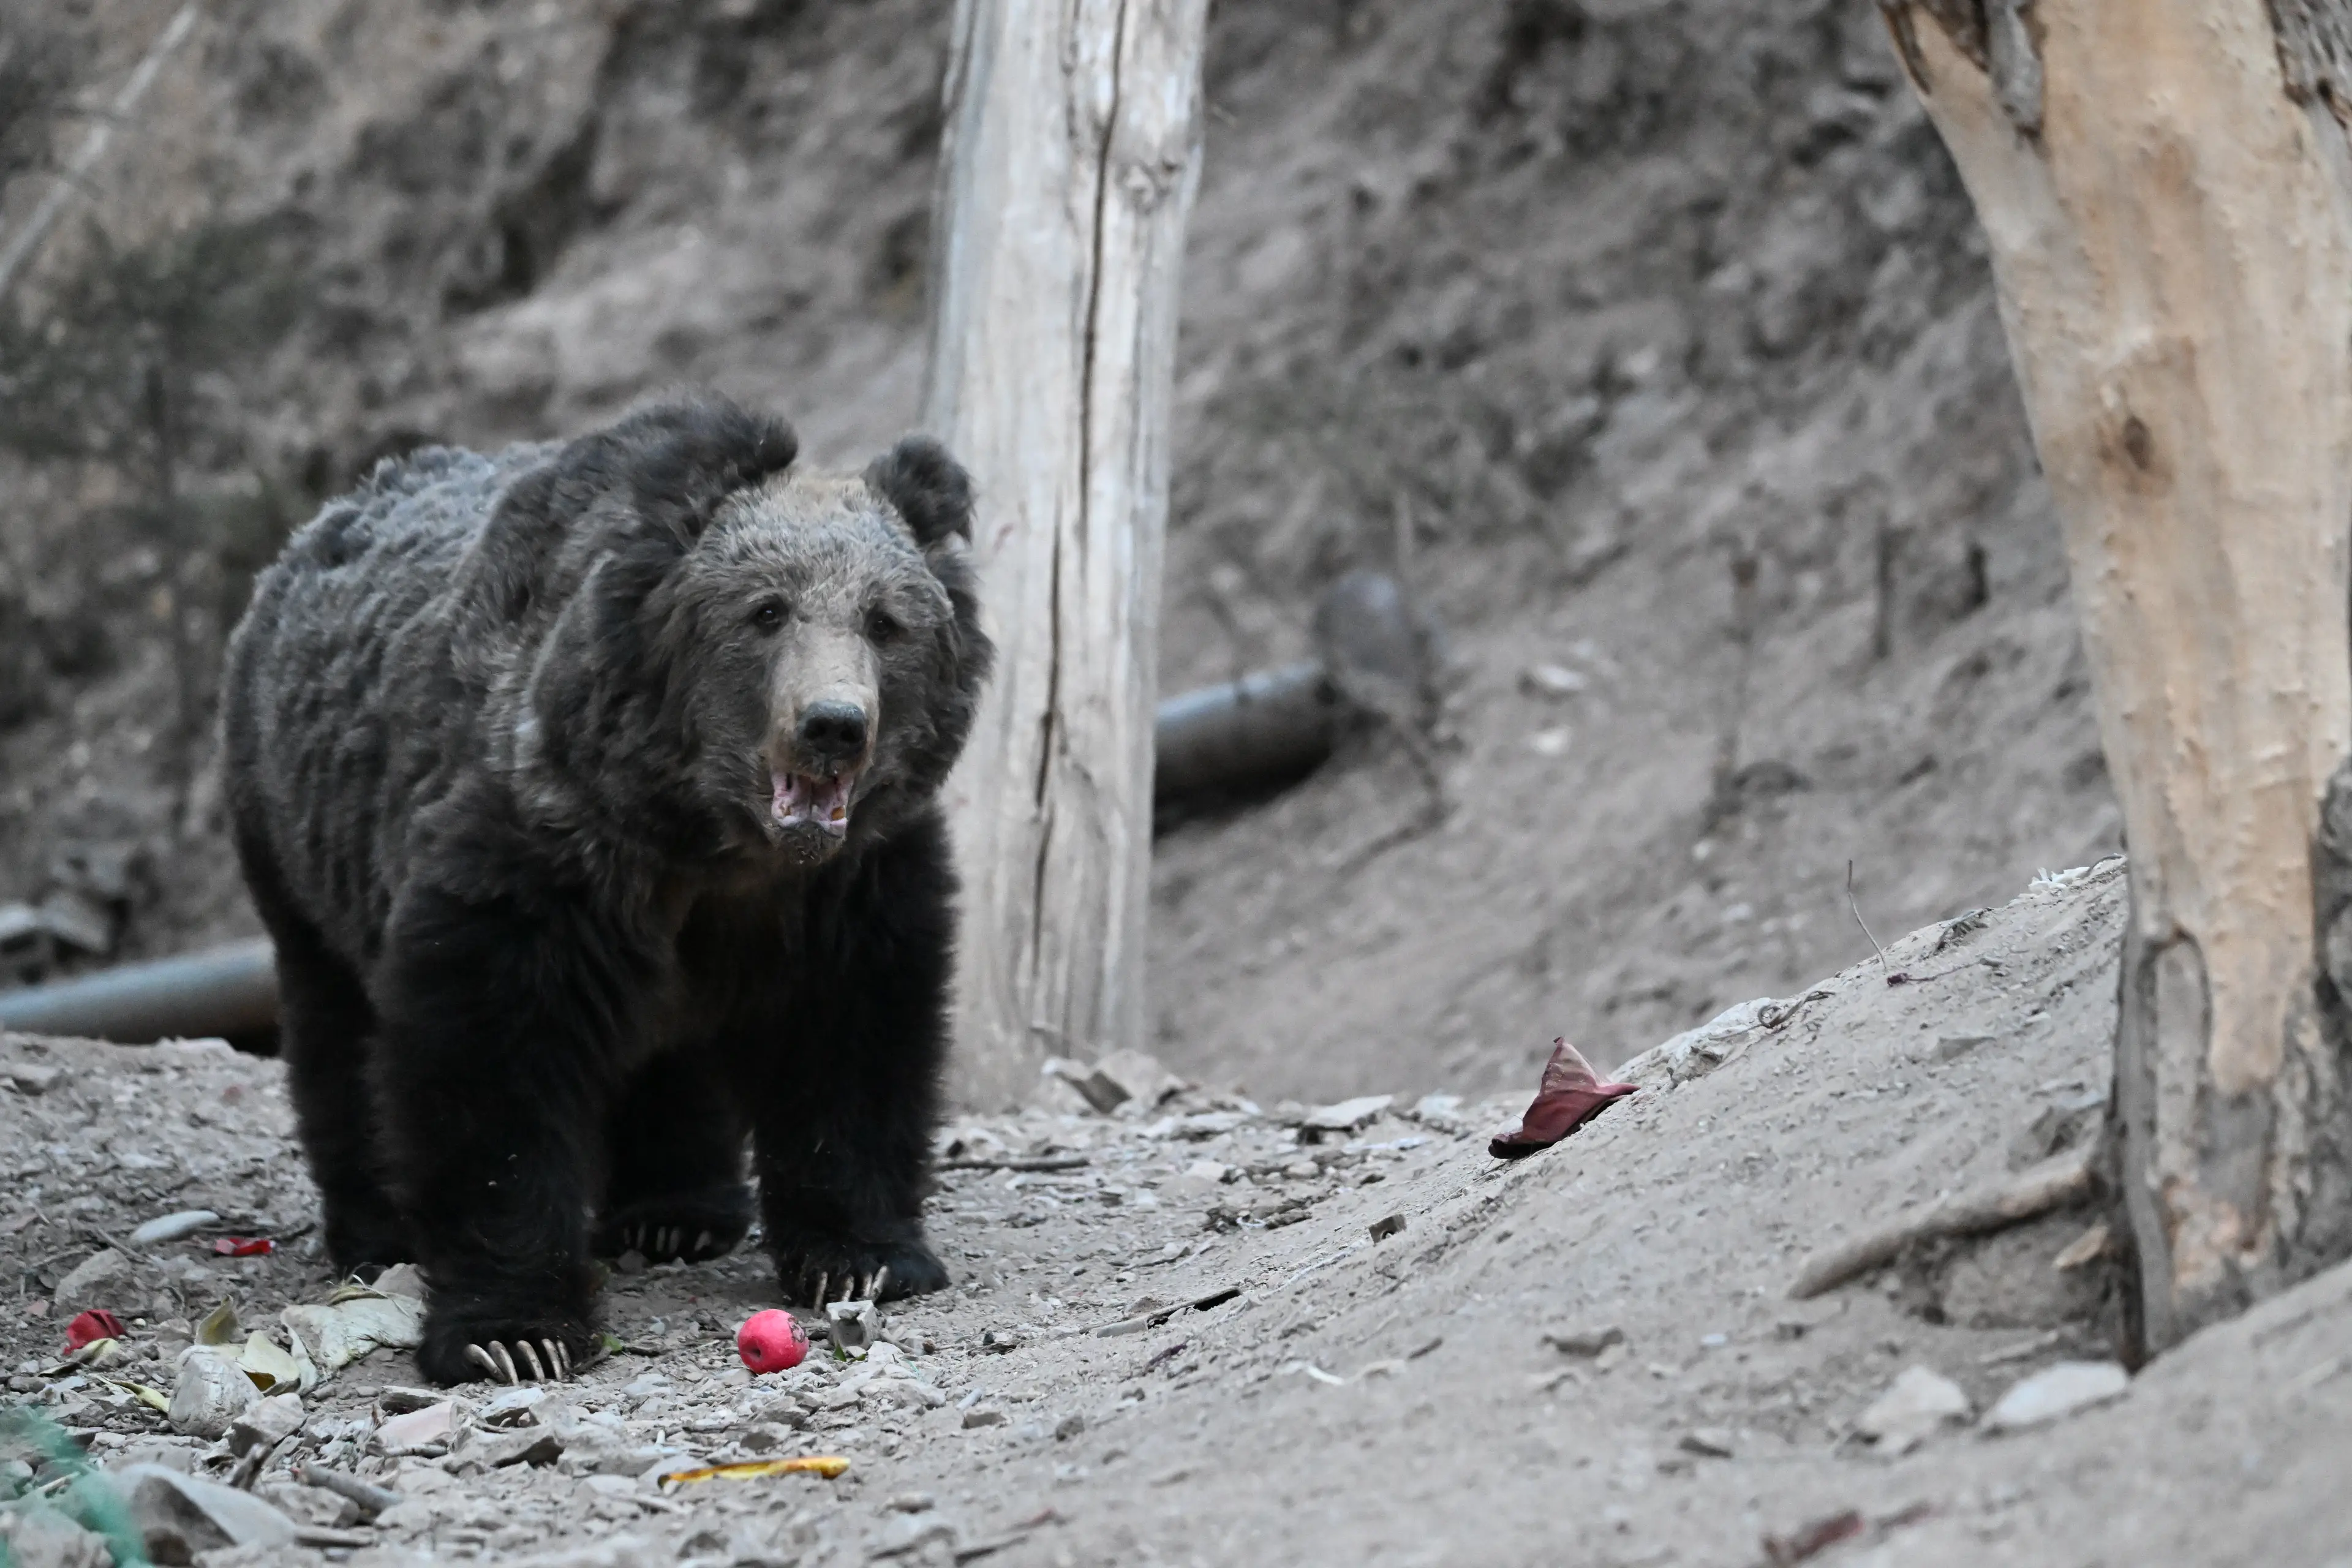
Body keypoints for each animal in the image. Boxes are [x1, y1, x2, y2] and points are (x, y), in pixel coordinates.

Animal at [220, 395, 992, 1385]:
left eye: (887, 621)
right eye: (766, 609)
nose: (833, 725)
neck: (713, 840)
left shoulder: (847, 890)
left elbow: (852, 1047)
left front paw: (865, 1257)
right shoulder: (541, 862)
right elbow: (492, 1075)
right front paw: (514, 1330)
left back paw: (677, 1211)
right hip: (302, 846)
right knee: (339, 1033)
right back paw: (375, 1227)